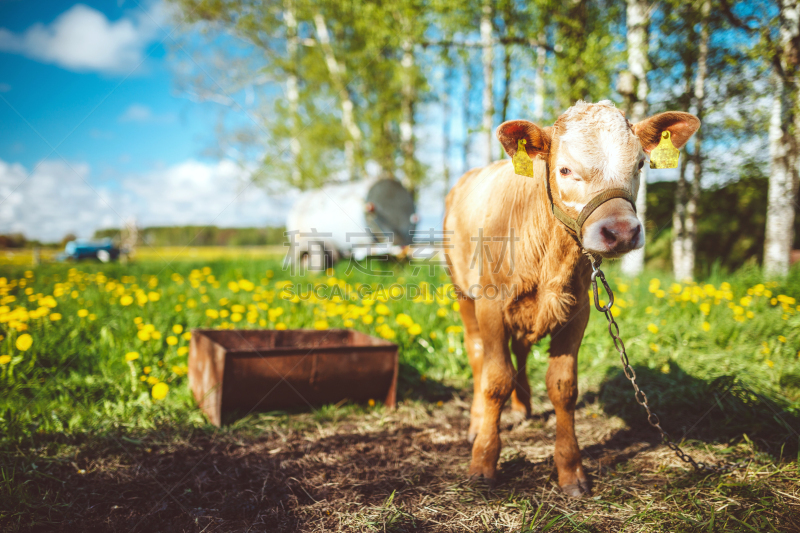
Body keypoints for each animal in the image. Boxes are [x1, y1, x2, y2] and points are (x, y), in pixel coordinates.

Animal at [444, 101, 700, 498]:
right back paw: (477, 421)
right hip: (462, 290)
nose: (621, 231)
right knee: (477, 355)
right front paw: (483, 461)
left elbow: (563, 387)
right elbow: (495, 380)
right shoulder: (491, 306)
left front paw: (570, 470)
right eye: (565, 169)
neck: (549, 255)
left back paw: (523, 406)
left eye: (640, 165)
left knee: (520, 352)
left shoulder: (577, 313)